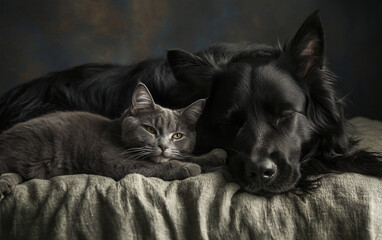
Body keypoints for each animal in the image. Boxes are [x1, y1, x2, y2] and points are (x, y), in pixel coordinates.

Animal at [0, 83, 227, 200]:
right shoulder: (114, 160)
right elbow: (151, 165)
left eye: (177, 136)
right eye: (150, 129)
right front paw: (188, 167)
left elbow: (187, 156)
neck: (118, 133)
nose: (163, 146)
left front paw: (214, 155)